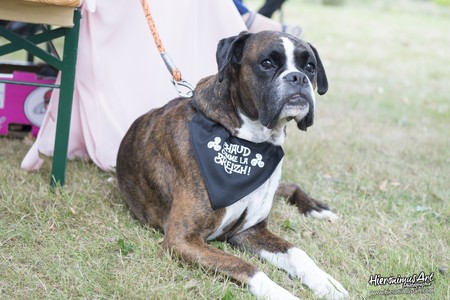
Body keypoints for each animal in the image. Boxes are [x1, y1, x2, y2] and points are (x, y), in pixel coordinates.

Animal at [116, 31, 348, 298]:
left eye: (310, 67)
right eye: (267, 63)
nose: (297, 77)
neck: (251, 141)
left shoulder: (250, 230)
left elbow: (297, 253)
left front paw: (325, 281)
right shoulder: (181, 239)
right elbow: (246, 267)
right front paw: (283, 293)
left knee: (290, 187)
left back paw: (317, 209)